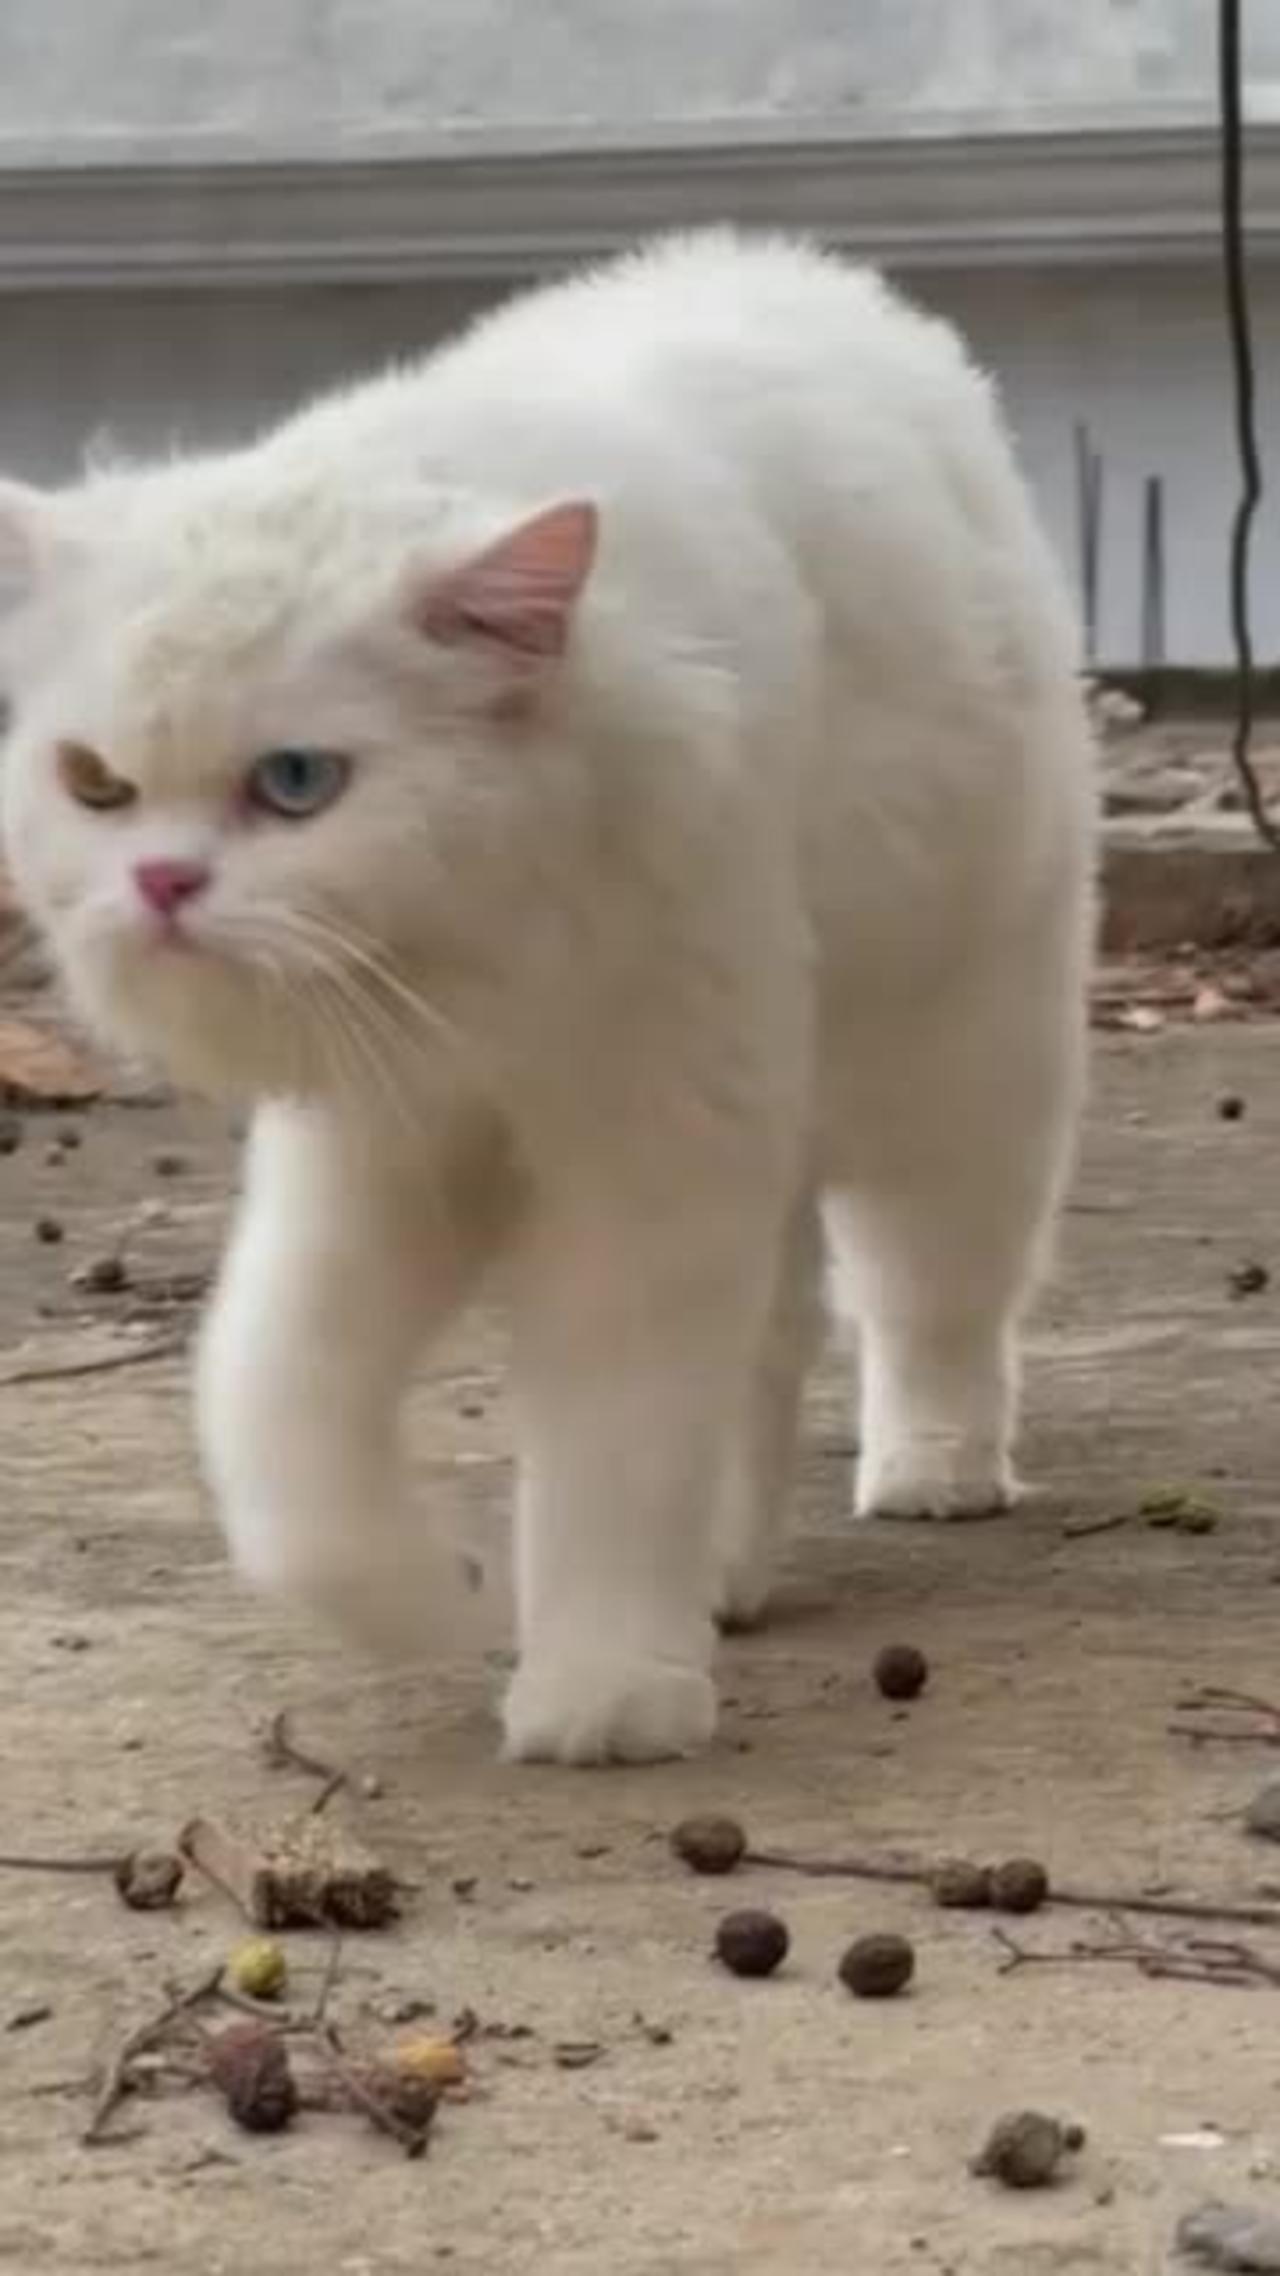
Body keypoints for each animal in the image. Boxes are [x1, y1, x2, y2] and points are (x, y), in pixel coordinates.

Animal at [4, 235, 1093, 1757]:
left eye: (298, 783)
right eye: (94, 783)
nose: (160, 883)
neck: (484, 963)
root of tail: (797, 269)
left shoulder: (649, 1162)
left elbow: (615, 1443)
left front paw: (605, 1693)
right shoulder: (379, 1151)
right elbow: (277, 1411)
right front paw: (427, 1599)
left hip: (951, 1064)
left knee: (934, 1294)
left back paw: (929, 1469)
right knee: (776, 1335)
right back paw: (725, 1576)